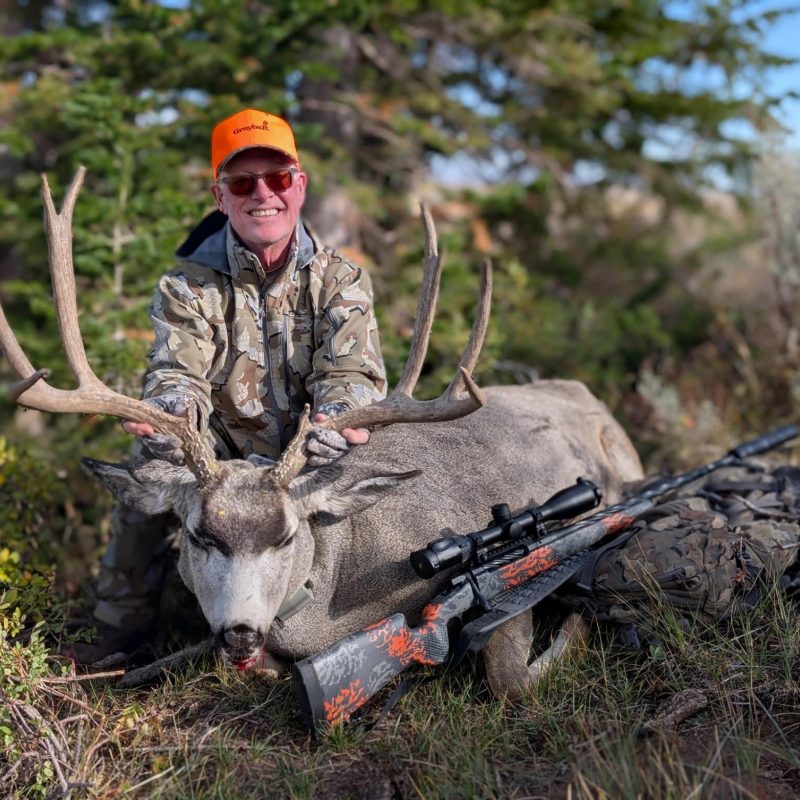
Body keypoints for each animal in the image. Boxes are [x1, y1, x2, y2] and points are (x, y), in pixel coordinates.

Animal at [0, 168, 643, 701]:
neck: (333, 597)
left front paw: (581, 613)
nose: (238, 633)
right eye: (199, 535)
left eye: (287, 536)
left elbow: (511, 679)